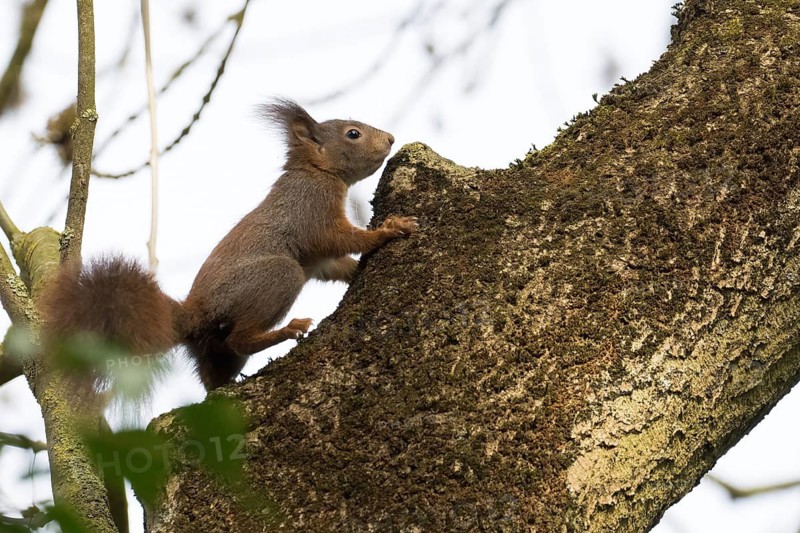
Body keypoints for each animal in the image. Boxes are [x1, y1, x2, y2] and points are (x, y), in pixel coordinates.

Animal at [42, 98, 417, 391]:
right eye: (352, 134)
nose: (390, 139)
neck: (316, 171)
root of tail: (195, 313)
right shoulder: (312, 210)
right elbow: (343, 239)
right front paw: (388, 231)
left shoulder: (320, 254)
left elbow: (333, 265)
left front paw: (356, 270)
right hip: (275, 277)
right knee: (241, 338)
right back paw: (287, 330)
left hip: (211, 347)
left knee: (215, 372)